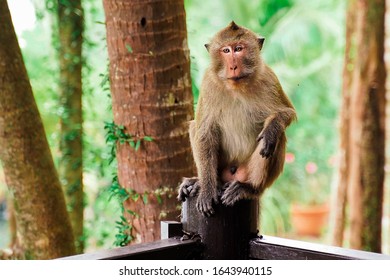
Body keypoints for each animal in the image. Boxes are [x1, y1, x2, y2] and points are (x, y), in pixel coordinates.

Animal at [178, 21, 298, 218]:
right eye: (226, 50)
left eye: (239, 49)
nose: (233, 66)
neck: (236, 85)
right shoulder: (208, 83)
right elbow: (204, 132)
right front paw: (207, 190)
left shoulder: (269, 78)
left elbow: (287, 113)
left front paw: (272, 129)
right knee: (195, 126)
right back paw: (201, 183)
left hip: (246, 172)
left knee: (277, 138)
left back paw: (248, 188)